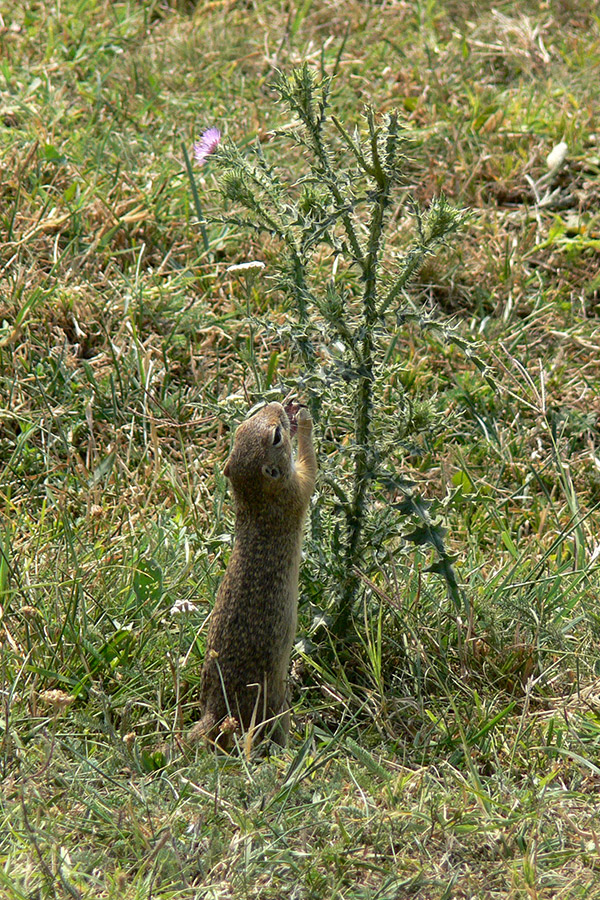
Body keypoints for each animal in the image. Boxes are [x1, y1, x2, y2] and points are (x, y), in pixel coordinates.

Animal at [189, 401, 317, 749]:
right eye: (276, 437)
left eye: (240, 429)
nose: (277, 405)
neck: (253, 498)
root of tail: (215, 711)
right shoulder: (295, 490)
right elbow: (310, 467)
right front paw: (305, 420)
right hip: (274, 706)